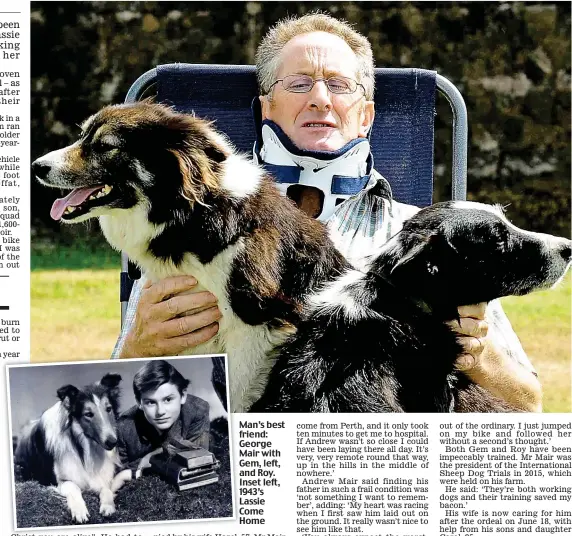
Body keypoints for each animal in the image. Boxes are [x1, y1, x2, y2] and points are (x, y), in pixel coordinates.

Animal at [15, 374, 133, 520]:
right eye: (88, 414)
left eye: (109, 409)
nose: (112, 442)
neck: (84, 447)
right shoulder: (59, 481)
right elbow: (73, 487)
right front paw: (79, 510)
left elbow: (106, 489)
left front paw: (108, 505)